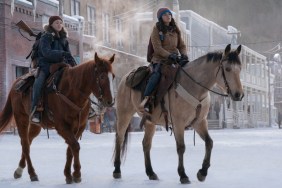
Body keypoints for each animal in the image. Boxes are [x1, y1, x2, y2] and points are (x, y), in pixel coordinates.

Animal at [0, 52, 114, 184]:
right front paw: (76, 174)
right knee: (25, 144)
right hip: (21, 119)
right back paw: (32, 173)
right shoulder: (62, 126)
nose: (110, 101)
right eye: (102, 76)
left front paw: (68, 174)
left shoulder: (79, 126)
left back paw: (19, 170)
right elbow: (75, 146)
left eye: (113, 76)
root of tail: (16, 83)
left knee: (28, 142)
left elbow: (70, 148)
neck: (71, 91)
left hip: (35, 125)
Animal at [113, 45, 243, 184]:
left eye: (240, 69)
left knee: (146, 144)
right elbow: (181, 147)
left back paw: (151, 172)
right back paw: (117, 170)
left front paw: (202, 172)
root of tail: (126, 78)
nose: (239, 95)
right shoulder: (178, 123)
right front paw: (183, 175)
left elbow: (209, 142)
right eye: (228, 68)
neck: (194, 87)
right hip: (124, 115)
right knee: (119, 139)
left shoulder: (200, 122)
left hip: (149, 121)